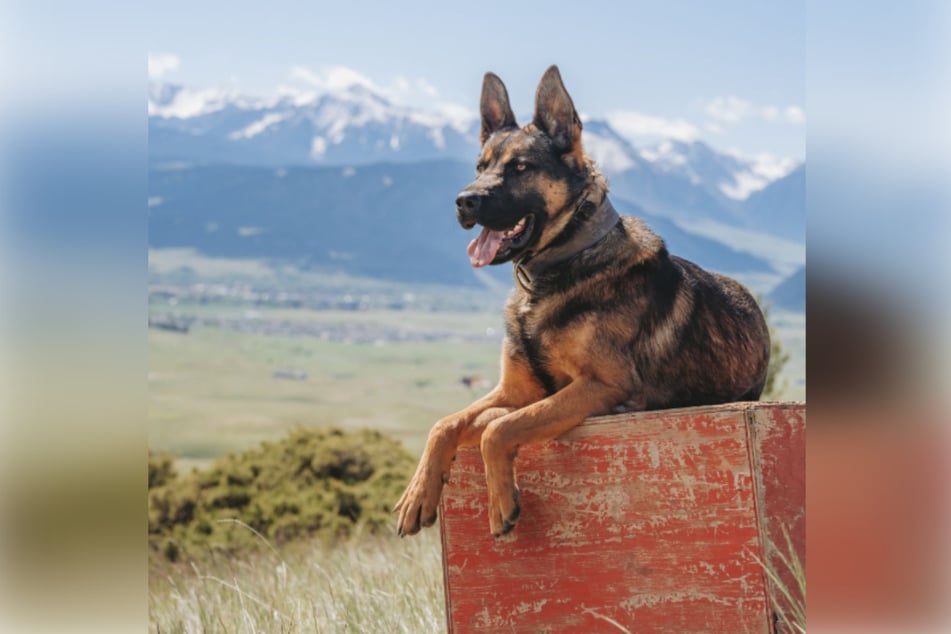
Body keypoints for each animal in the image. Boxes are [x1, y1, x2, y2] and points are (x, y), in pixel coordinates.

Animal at [394, 66, 772, 536]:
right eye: (480, 167)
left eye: (520, 167)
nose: (464, 201)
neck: (560, 266)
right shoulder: (517, 389)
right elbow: (444, 424)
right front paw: (418, 495)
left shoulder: (602, 383)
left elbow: (499, 430)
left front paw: (500, 502)